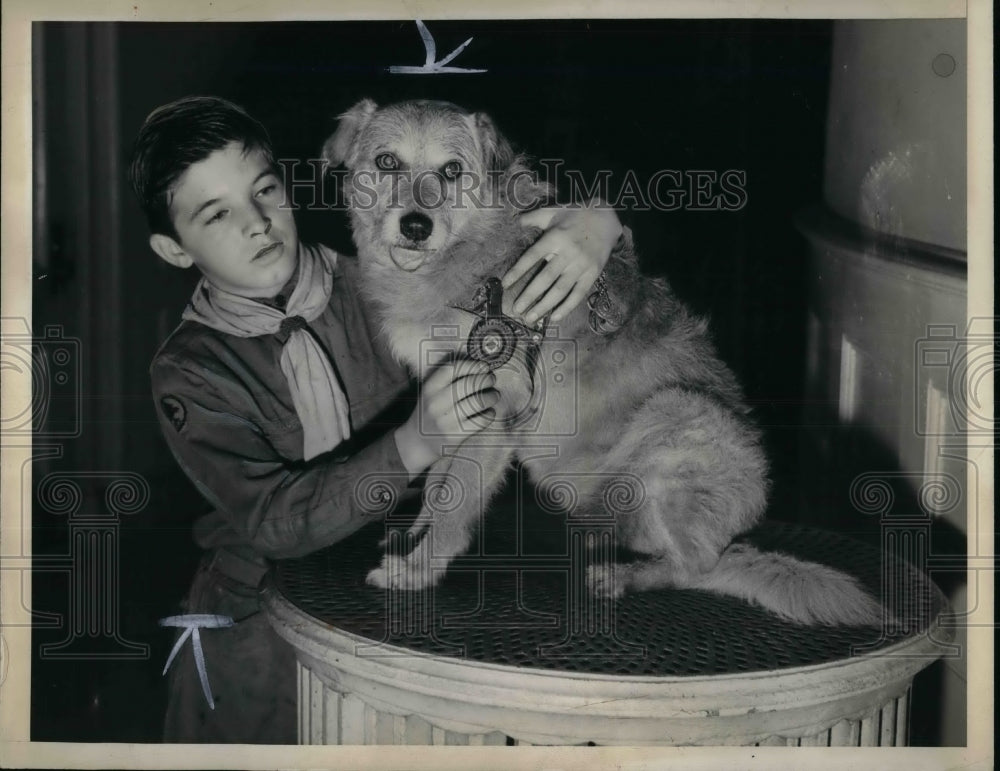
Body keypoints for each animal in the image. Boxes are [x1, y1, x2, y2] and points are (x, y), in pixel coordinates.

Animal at [324, 98, 880, 628]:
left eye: (453, 170)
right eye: (387, 162)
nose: (416, 226)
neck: (472, 258)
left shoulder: (493, 409)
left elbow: (453, 501)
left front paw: (419, 570)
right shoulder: (452, 396)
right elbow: (439, 479)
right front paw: (412, 539)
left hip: (676, 413)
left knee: (699, 566)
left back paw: (624, 577)